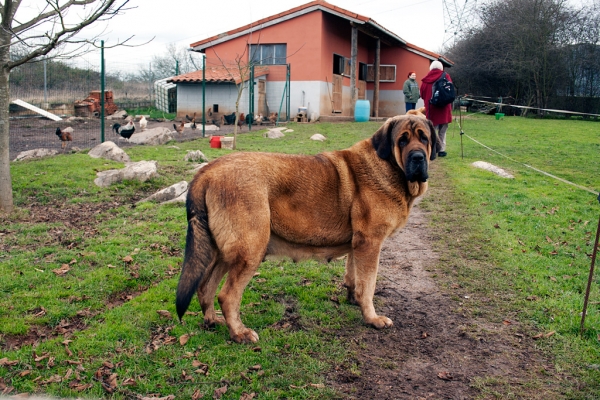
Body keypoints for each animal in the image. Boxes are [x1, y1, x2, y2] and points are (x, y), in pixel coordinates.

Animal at [176, 113, 438, 344]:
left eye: (424, 138)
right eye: (402, 140)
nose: (418, 158)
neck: (389, 167)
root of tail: (207, 171)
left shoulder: (358, 244)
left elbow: (354, 277)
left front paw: (354, 300)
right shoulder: (370, 243)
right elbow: (369, 284)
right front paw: (372, 318)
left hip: (224, 252)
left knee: (205, 287)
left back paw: (213, 321)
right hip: (250, 251)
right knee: (227, 296)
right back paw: (239, 333)